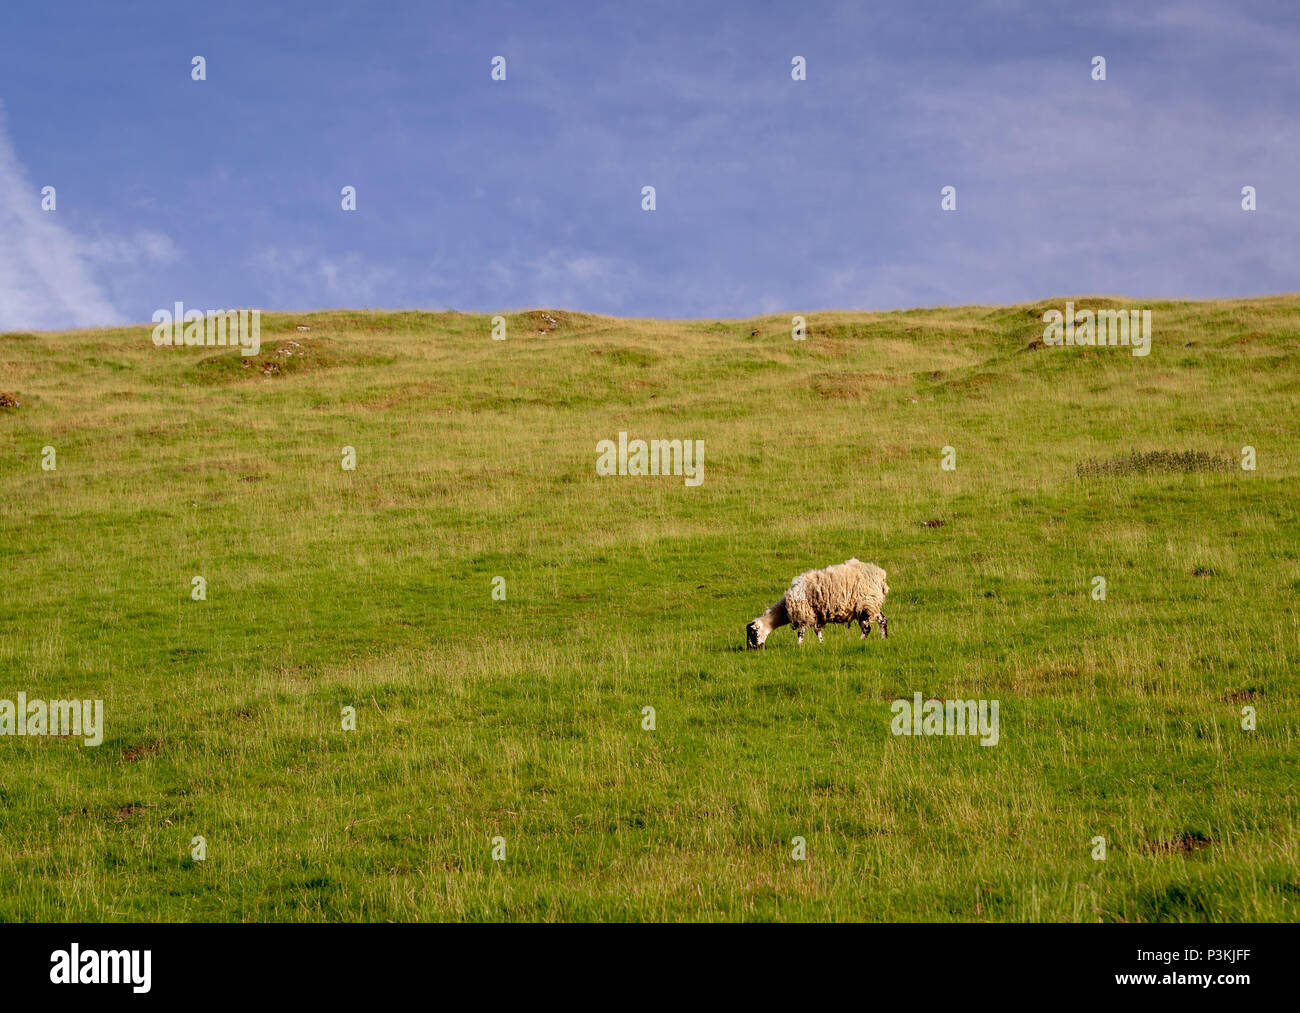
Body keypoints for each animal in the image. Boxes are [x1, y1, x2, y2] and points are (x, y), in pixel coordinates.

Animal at [746, 558, 890, 649]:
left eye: (752, 633)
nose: (751, 649)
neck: (784, 610)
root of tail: (881, 575)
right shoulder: (816, 615)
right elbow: (817, 630)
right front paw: (821, 643)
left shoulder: (804, 615)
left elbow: (801, 632)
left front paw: (798, 645)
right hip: (869, 605)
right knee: (879, 621)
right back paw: (882, 638)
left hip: (868, 603)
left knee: (871, 625)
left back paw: (863, 640)